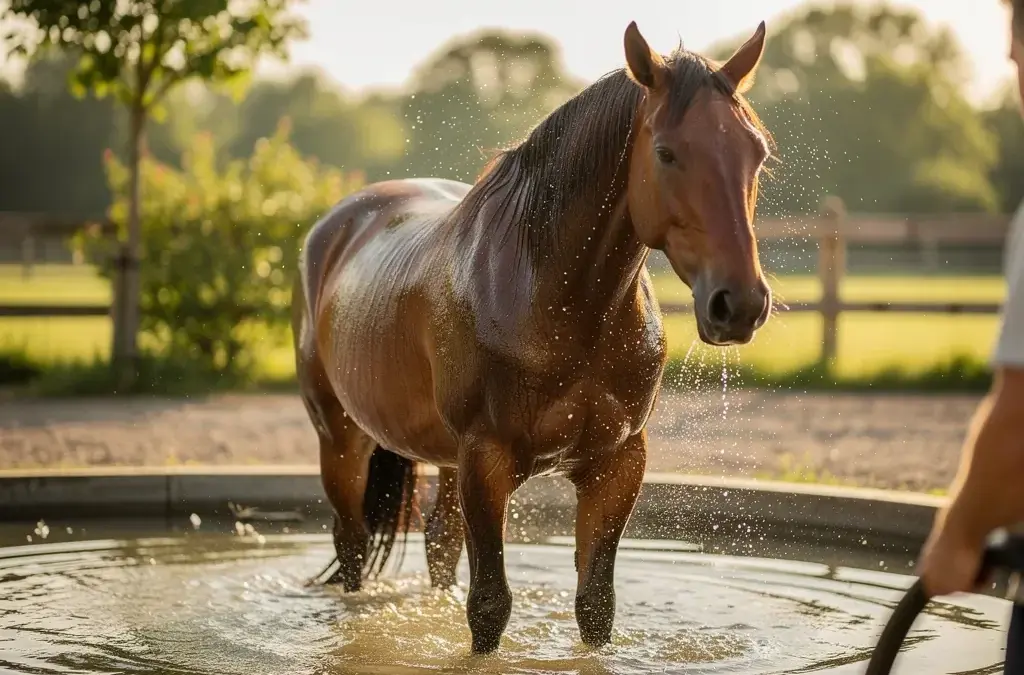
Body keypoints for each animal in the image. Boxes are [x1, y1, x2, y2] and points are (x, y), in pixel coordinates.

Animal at [292, 20, 773, 653]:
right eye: (667, 152)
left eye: (755, 154)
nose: (739, 304)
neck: (554, 298)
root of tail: (337, 225)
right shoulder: (486, 462)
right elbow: (490, 607)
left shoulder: (617, 464)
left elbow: (595, 606)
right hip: (341, 439)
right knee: (350, 547)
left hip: (442, 460)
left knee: (439, 545)